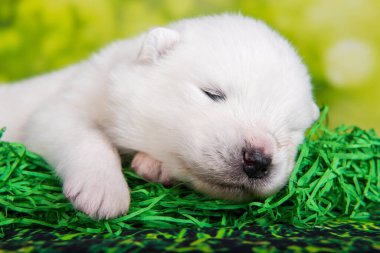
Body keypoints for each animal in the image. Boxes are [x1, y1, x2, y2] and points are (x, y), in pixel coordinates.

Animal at [0, 14, 320, 219]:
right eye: (213, 93)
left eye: (290, 132)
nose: (257, 159)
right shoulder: (66, 100)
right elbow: (78, 131)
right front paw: (103, 192)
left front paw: (152, 166)